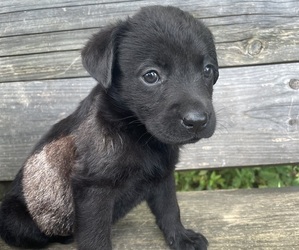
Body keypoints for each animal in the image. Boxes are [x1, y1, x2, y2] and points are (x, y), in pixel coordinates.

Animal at [0, 4, 220, 249]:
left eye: (208, 70)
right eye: (151, 76)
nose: (197, 121)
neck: (137, 133)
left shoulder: (163, 176)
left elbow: (170, 209)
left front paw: (181, 237)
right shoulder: (94, 189)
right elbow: (96, 236)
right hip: (15, 219)